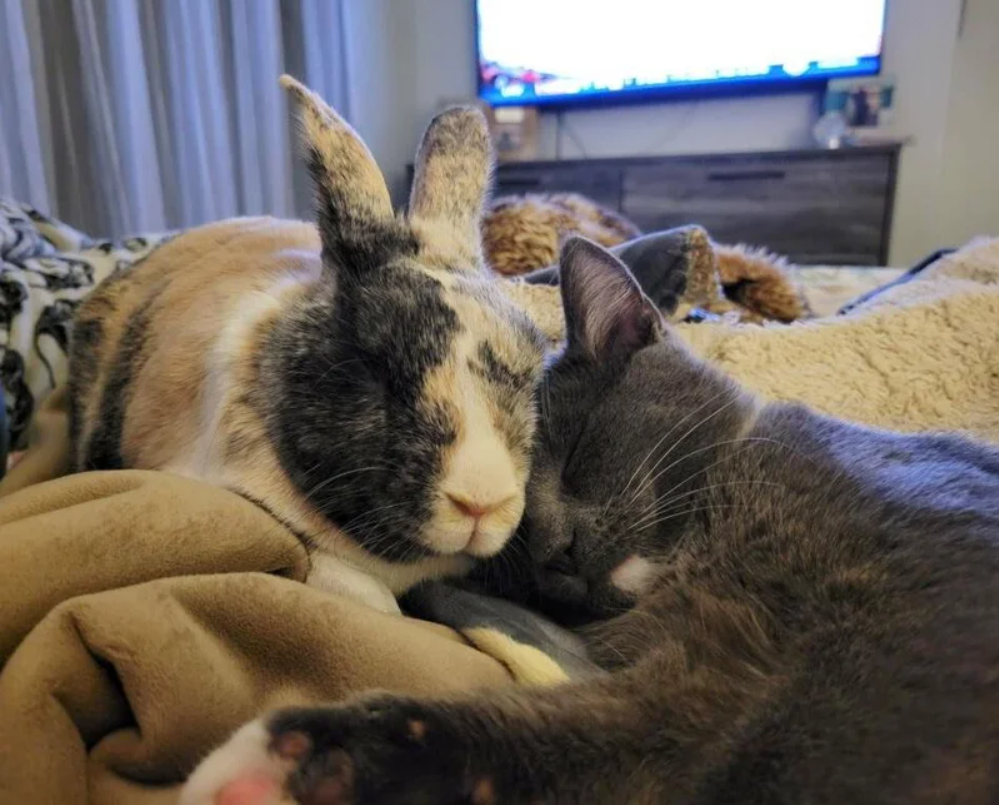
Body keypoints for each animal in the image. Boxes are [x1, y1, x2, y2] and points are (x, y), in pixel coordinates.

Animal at [182, 236, 999, 800]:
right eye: (515, 545)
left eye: (574, 456)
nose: (559, 548)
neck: (707, 558)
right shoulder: (696, 679)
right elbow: (599, 733)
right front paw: (295, 768)